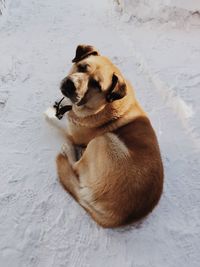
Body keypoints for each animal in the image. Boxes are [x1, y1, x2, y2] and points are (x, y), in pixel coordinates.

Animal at [51, 45, 162, 228]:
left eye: (96, 84)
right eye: (82, 67)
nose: (70, 85)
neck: (103, 106)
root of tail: (116, 218)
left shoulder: (75, 134)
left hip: (104, 140)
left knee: (75, 167)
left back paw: (69, 151)